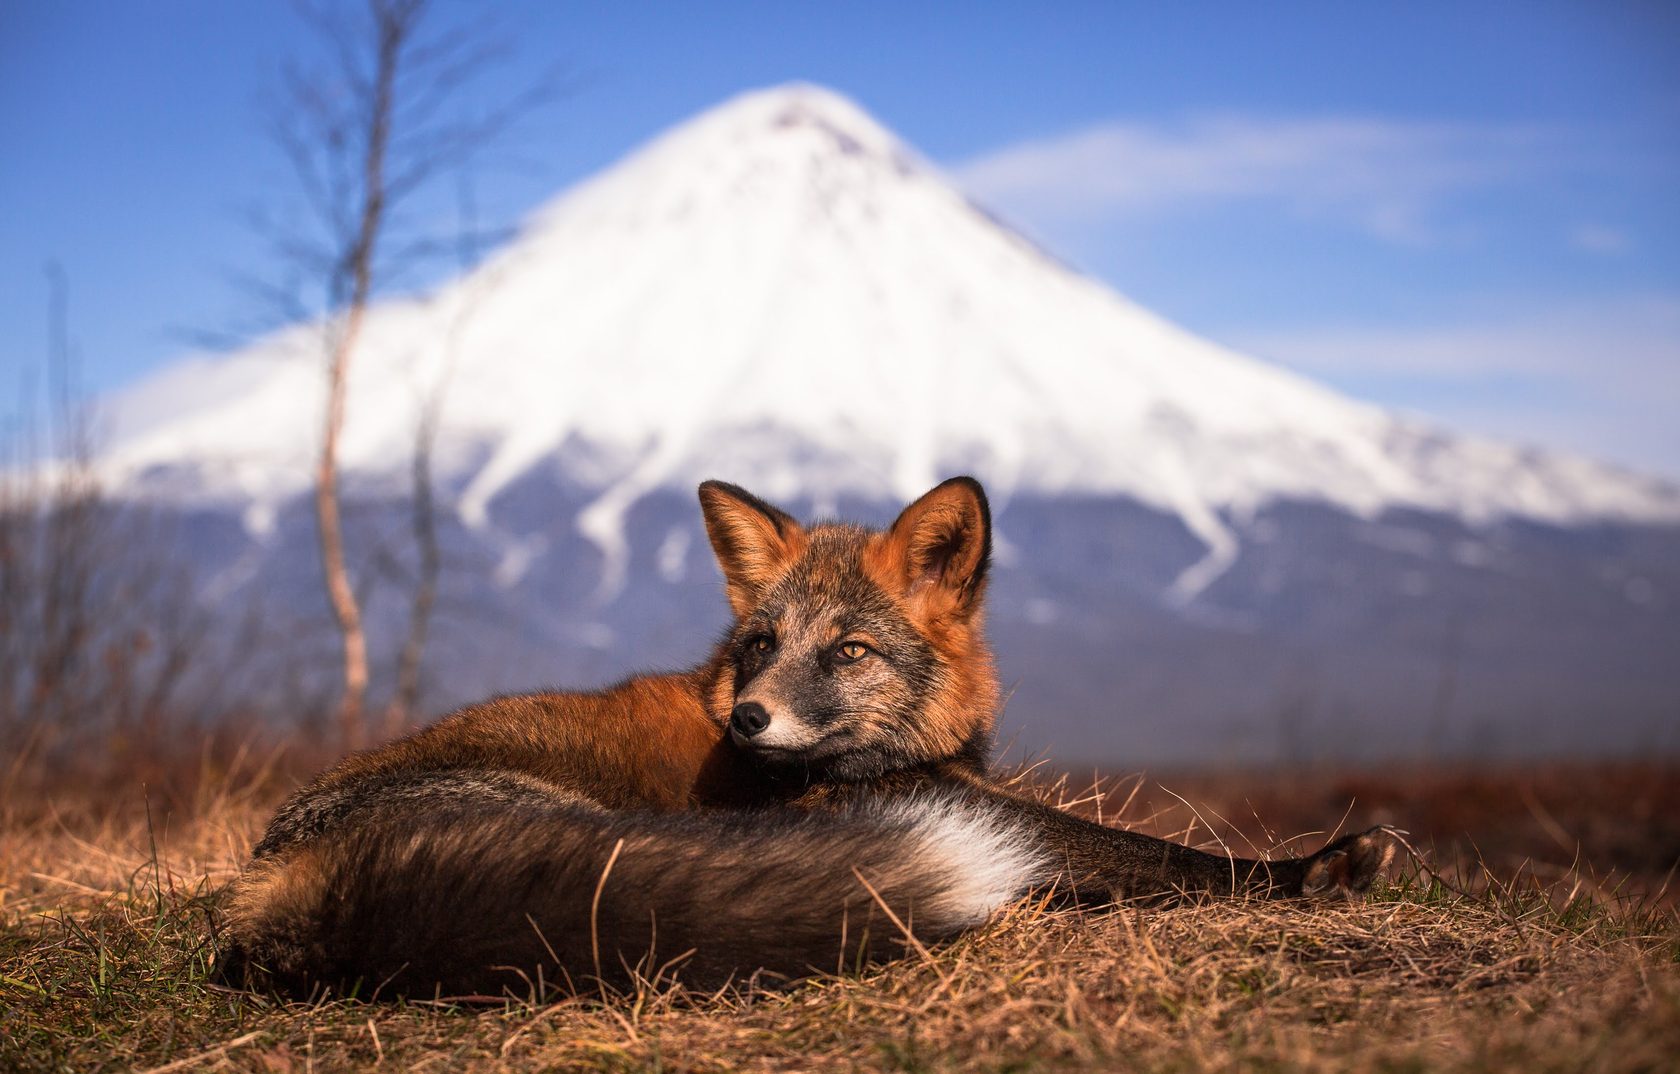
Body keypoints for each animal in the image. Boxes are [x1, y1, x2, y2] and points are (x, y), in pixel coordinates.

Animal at [226, 477, 1404, 1001]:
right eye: (760, 642)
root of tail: (277, 888)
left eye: (847, 650)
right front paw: (1313, 871)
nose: (747, 719)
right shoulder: (935, 807)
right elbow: (1153, 855)